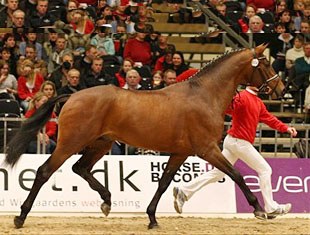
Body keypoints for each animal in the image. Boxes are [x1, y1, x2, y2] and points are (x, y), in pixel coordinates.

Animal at [5, 43, 286, 228]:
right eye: (265, 63)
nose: (280, 88)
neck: (204, 95)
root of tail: (71, 96)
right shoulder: (207, 149)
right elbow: (236, 174)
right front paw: (260, 209)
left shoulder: (181, 152)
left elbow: (164, 183)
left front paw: (152, 218)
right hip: (70, 143)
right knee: (44, 171)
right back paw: (20, 217)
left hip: (100, 144)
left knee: (80, 168)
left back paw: (107, 201)